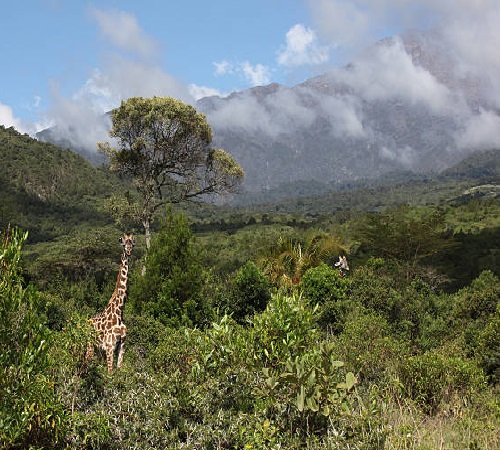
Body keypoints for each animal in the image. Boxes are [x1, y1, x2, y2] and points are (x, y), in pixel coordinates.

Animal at [88, 232, 135, 372]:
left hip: (98, 350)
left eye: (133, 244)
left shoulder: (122, 346)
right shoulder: (109, 346)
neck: (119, 311)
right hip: (89, 345)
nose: (129, 251)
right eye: (124, 244)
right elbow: (110, 373)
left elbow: (118, 371)